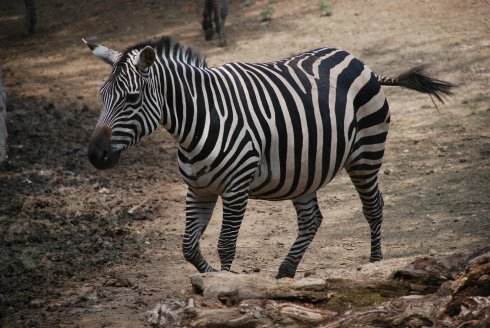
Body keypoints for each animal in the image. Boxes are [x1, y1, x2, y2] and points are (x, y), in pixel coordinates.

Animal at [82, 37, 454, 278]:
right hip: (305, 169)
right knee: (312, 219)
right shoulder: (199, 190)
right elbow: (188, 247)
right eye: (101, 95)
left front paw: (225, 287)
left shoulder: (235, 189)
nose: (95, 155)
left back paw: (375, 265)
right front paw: (210, 277)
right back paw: (286, 271)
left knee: (373, 207)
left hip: (366, 154)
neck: (197, 122)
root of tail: (362, 63)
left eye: (131, 98)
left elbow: (226, 245)